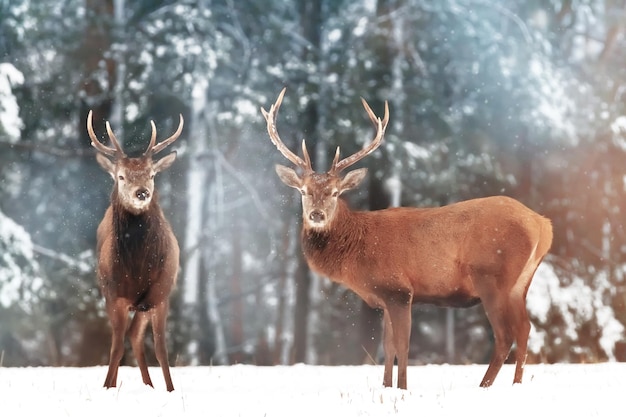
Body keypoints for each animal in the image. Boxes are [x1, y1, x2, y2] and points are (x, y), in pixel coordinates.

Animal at [89, 109, 184, 390]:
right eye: (121, 176)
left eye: (152, 174)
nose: (142, 193)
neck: (139, 268)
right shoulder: (114, 294)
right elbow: (116, 348)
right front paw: (107, 387)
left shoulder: (160, 294)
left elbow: (162, 349)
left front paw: (171, 390)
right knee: (123, 339)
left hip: (144, 304)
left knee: (134, 335)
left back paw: (149, 385)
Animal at [260, 88, 552, 390]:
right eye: (304, 191)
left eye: (335, 192)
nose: (316, 214)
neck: (358, 249)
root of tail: (543, 224)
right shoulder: (385, 295)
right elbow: (388, 346)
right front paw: (387, 387)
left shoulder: (399, 289)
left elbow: (402, 345)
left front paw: (402, 388)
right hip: (520, 282)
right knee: (525, 329)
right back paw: (516, 385)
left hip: (492, 277)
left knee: (505, 335)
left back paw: (483, 387)